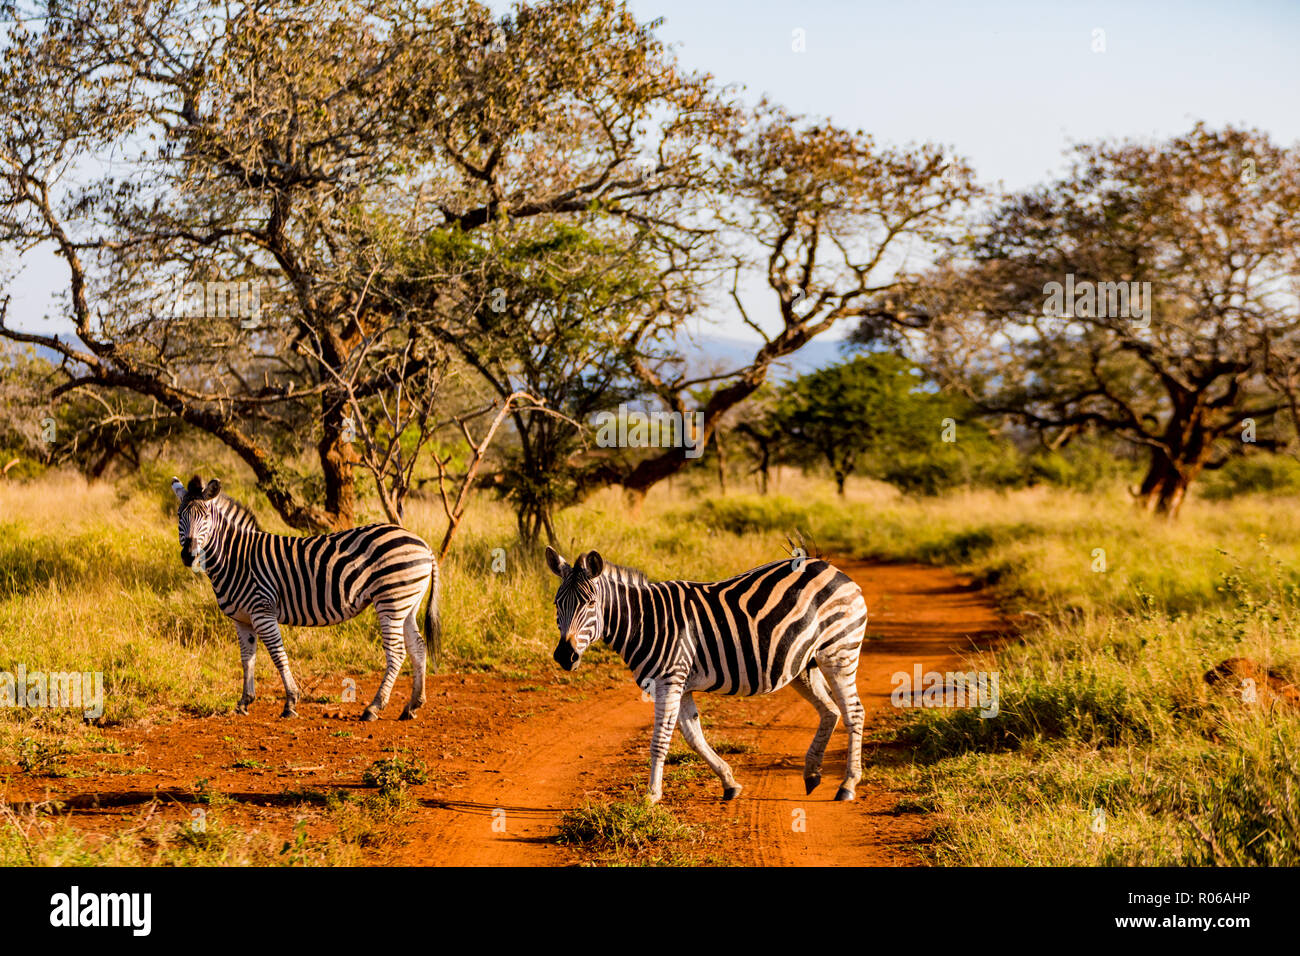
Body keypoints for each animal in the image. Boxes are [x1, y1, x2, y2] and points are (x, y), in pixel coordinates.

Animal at [171, 476, 441, 723]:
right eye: (179, 515)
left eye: (205, 517)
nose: (188, 555)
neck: (236, 557)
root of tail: (423, 545)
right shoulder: (242, 619)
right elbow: (247, 659)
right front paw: (244, 702)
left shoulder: (263, 610)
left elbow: (278, 655)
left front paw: (290, 702)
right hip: (407, 604)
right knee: (417, 647)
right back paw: (412, 705)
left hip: (391, 601)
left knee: (396, 653)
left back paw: (373, 708)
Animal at [543, 548, 868, 806]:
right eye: (557, 604)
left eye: (590, 604)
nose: (565, 656)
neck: (645, 622)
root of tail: (831, 568)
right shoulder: (680, 684)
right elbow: (693, 736)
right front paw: (729, 782)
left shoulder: (669, 680)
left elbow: (660, 740)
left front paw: (651, 795)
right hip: (803, 664)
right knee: (830, 710)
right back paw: (812, 774)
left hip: (839, 652)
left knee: (854, 712)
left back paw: (847, 785)